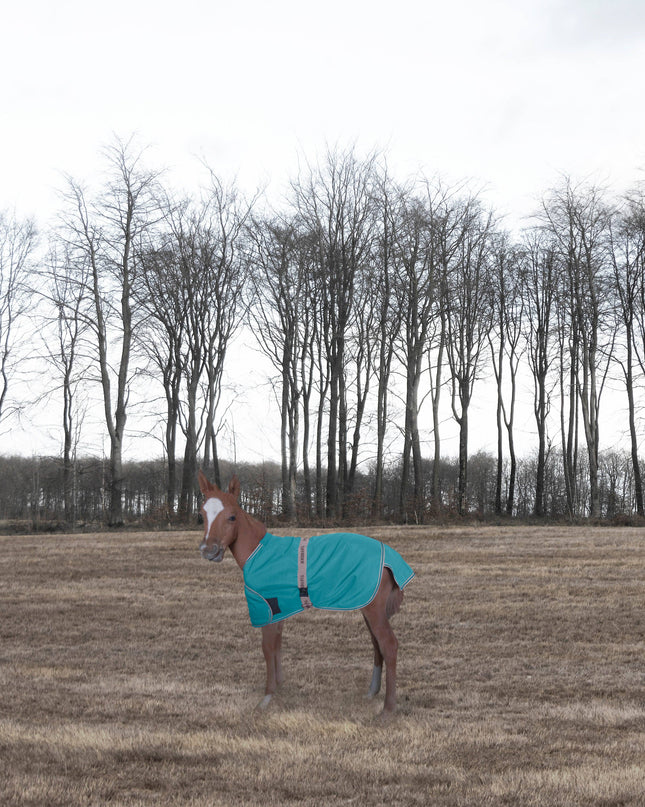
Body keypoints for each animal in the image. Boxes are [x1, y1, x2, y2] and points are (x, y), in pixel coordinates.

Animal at [197, 471, 415, 713]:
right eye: (202, 514)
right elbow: (277, 645)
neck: (259, 552)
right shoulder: (280, 608)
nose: (209, 551)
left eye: (232, 517)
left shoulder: (267, 608)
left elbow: (267, 647)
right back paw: (372, 692)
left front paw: (267, 696)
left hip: (374, 610)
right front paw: (279, 686)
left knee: (389, 645)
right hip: (368, 607)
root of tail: (391, 559)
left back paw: (388, 708)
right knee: (377, 645)